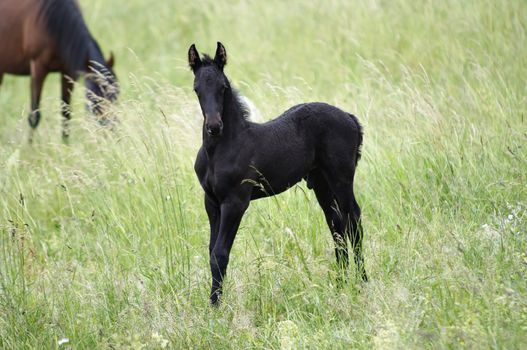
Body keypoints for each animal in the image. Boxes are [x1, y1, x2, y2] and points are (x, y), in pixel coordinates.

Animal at [0, 0, 118, 139]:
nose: (111, 129)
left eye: (116, 96)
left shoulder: (67, 72)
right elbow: (34, 116)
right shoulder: (38, 69)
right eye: (94, 96)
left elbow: (65, 114)